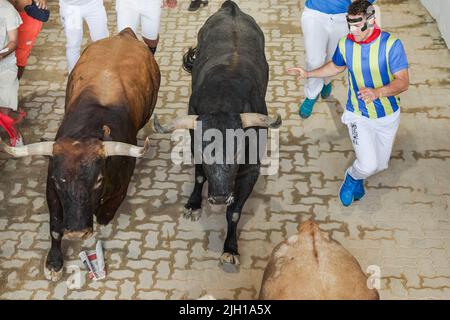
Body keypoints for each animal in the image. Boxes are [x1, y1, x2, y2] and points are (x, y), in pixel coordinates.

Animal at [0, 28, 160, 282]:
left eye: (99, 180)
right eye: (59, 181)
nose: (76, 232)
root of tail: (124, 34)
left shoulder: (119, 190)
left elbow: (106, 214)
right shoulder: (52, 191)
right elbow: (55, 227)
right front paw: (54, 263)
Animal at [155, 0, 282, 272]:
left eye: (238, 150)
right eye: (205, 153)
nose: (221, 196)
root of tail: (231, 8)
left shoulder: (250, 170)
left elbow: (234, 212)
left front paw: (230, 249)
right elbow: (200, 175)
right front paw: (194, 204)